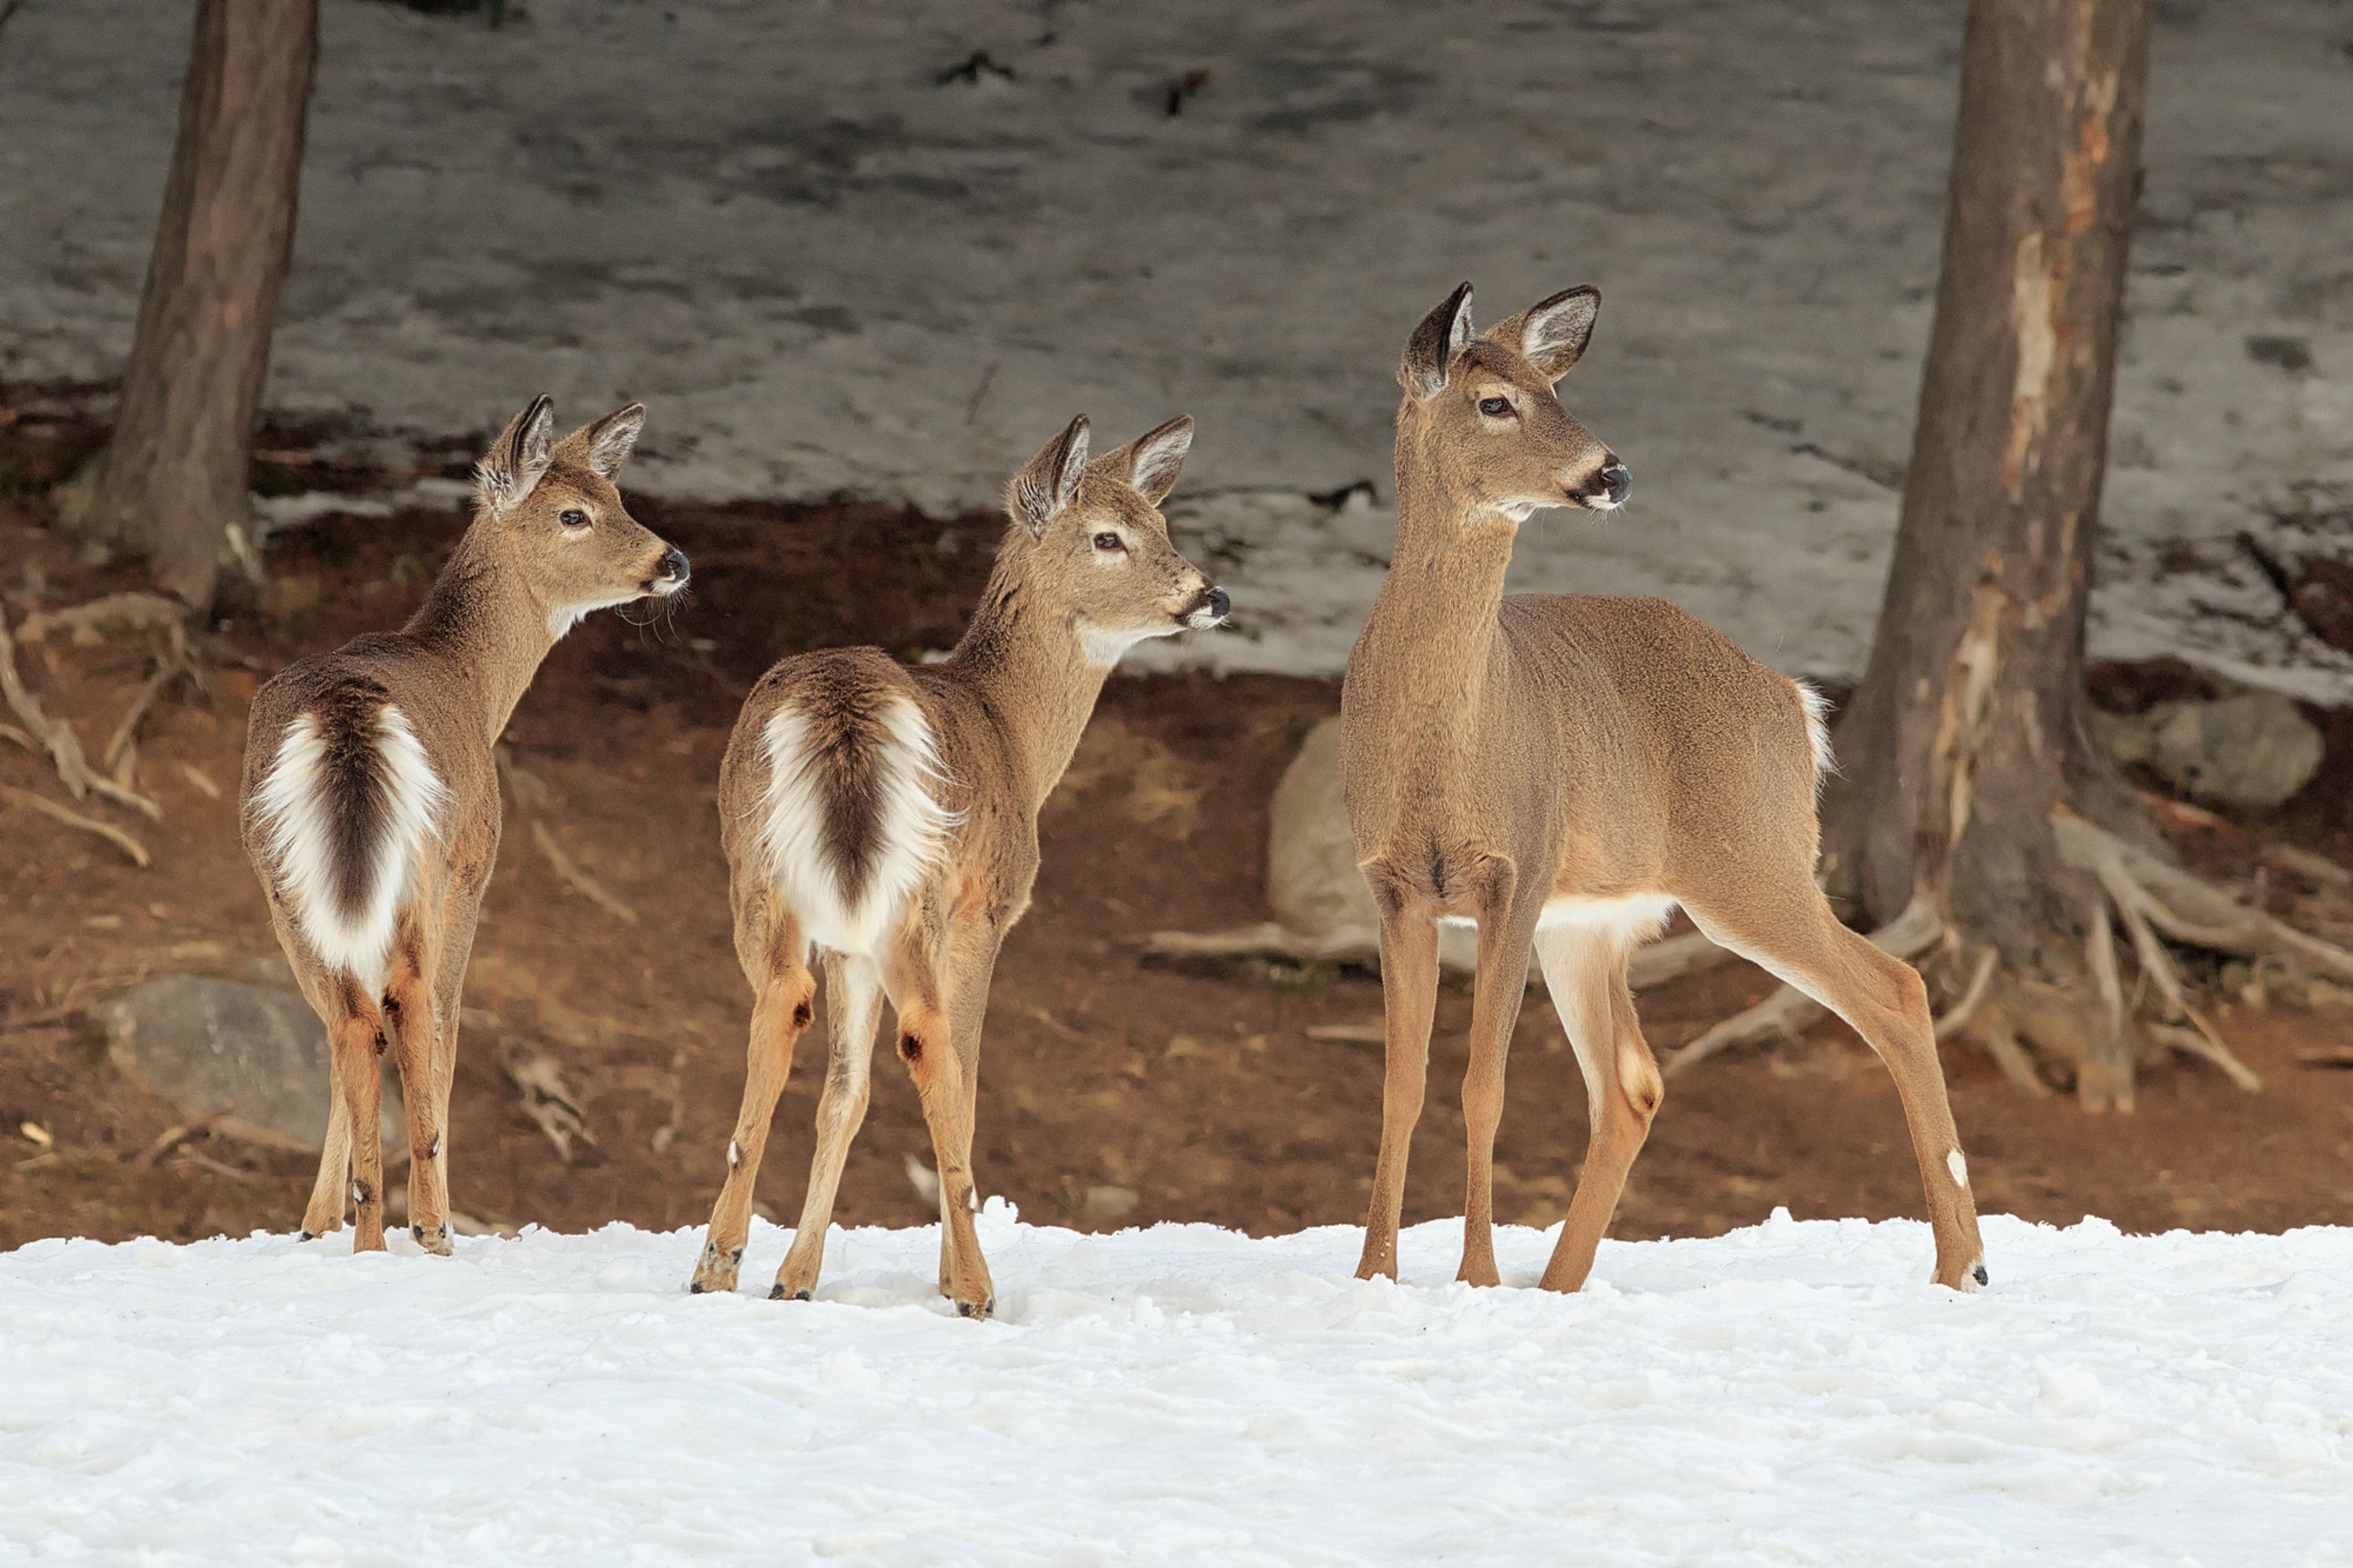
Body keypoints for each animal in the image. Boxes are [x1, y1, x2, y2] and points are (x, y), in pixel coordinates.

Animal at [239, 395, 689, 1256]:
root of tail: (345, 714)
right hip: (426, 864)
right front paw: (430, 1211)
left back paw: (352, 1230)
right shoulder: (477, 865)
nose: (674, 561)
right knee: (414, 1009)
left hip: (284, 881)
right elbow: (447, 1032)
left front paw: (319, 1222)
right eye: (573, 513)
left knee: (347, 1028)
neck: (478, 684)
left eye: (618, 498)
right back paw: (427, 1226)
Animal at [687, 412, 1226, 1319]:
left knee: (780, 1004)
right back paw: (977, 1286)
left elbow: (843, 1095)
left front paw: (795, 1276)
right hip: (920, 889)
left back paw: (717, 1260)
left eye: (1161, 522)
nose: (1210, 595)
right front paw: (944, 1273)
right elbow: (965, 1079)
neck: (1015, 733)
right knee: (930, 1041)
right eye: (1107, 537)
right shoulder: (988, 907)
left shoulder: (850, 935)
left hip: (759, 872)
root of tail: (842, 710)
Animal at [1340, 283, 1988, 1295]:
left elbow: (1481, 1085)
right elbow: (1400, 1087)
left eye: (1555, 389)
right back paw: (1558, 1286)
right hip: (1595, 920)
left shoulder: (1515, 870)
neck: (1440, 742)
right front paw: (1374, 1277)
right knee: (1633, 1084)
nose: (1612, 473)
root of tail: (1794, 703)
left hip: (1748, 864)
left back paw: (1964, 1266)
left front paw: (1475, 1280)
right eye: (1495, 402)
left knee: (1896, 988)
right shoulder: (1393, 885)